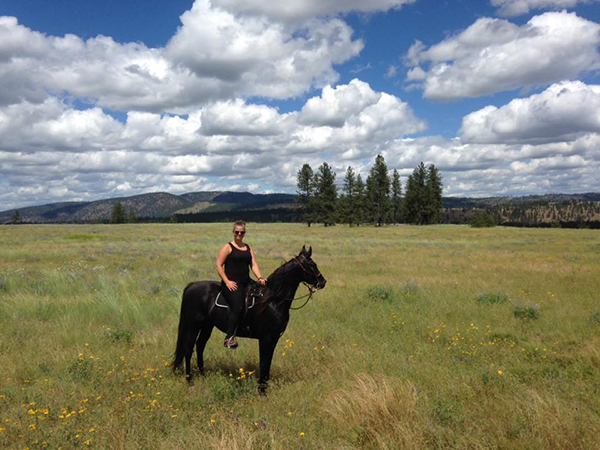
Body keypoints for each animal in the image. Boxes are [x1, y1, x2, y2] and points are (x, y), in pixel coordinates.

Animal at [171, 246, 326, 394]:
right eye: (313, 264)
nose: (323, 282)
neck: (272, 301)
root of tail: (191, 285)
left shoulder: (273, 339)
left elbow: (268, 363)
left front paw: (264, 388)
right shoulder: (266, 338)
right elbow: (264, 363)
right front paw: (262, 391)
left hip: (207, 326)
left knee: (200, 346)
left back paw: (203, 376)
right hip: (193, 326)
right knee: (188, 349)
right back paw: (190, 380)